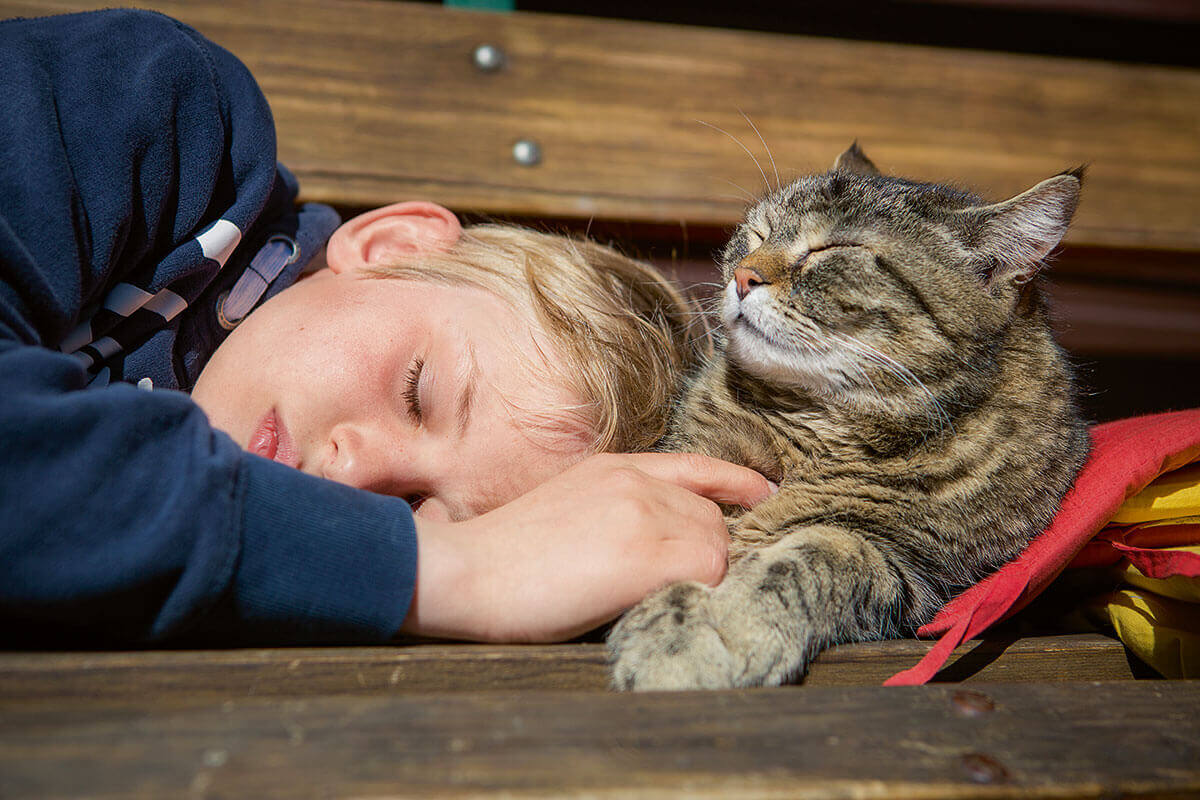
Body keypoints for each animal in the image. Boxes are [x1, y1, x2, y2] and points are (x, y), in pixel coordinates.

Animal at [609, 145, 1089, 695]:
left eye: (835, 249)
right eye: (758, 234)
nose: (742, 276)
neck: (819, 430)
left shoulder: (919, 575)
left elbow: (817, 552)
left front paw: (706, 629)